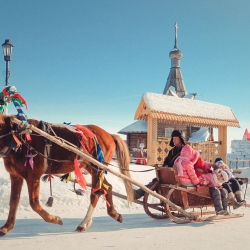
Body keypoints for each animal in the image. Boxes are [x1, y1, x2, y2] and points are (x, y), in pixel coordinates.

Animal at [0, 114, 134, 236]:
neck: (19, 137)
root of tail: (109, 135)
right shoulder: (16, 176)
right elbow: (13, 201)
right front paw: (7, 226)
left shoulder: (33, 176)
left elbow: (34, 204)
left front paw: (55, 219)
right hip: (93, 168)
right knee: (106, 188)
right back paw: (113, 214)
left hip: (97, 168)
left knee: (95, 193)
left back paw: (83, 224)